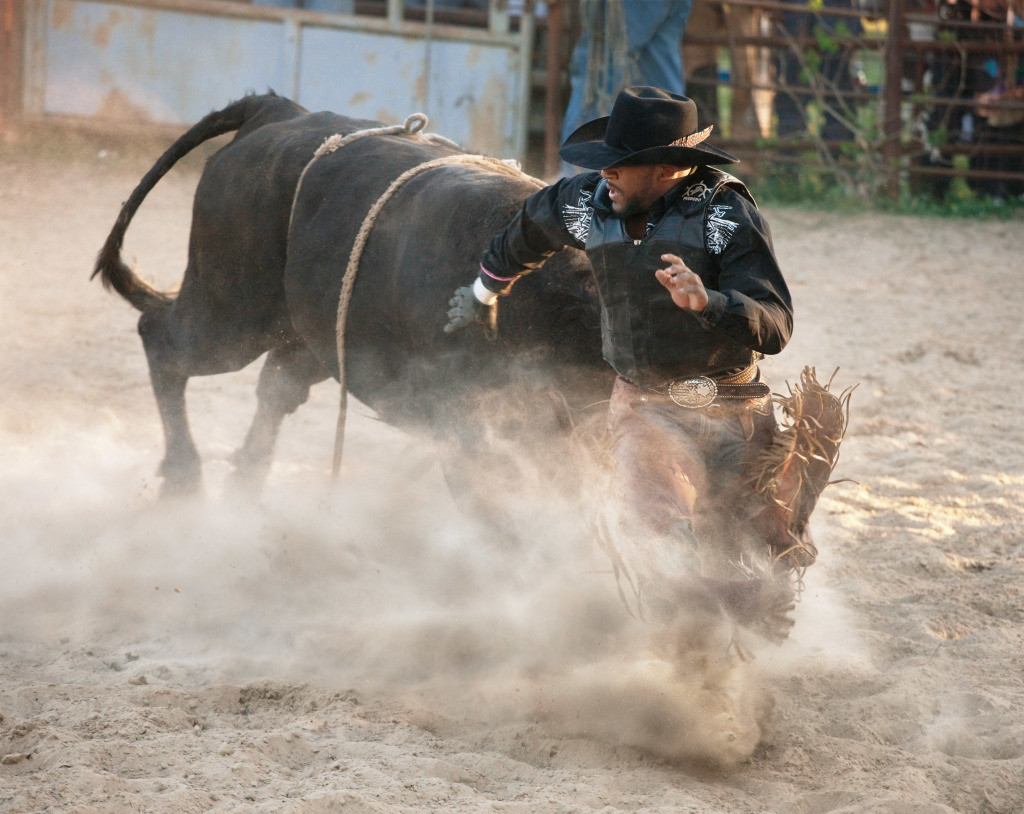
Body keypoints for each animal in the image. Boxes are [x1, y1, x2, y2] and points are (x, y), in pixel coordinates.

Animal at [92, 93, 614, 503]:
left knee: (275, 388)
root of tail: (278, 111)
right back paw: (185, 478)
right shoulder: (474, 430)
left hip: (309, 335)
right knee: (162, 341)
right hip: (229, 313)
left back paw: (243, 491)